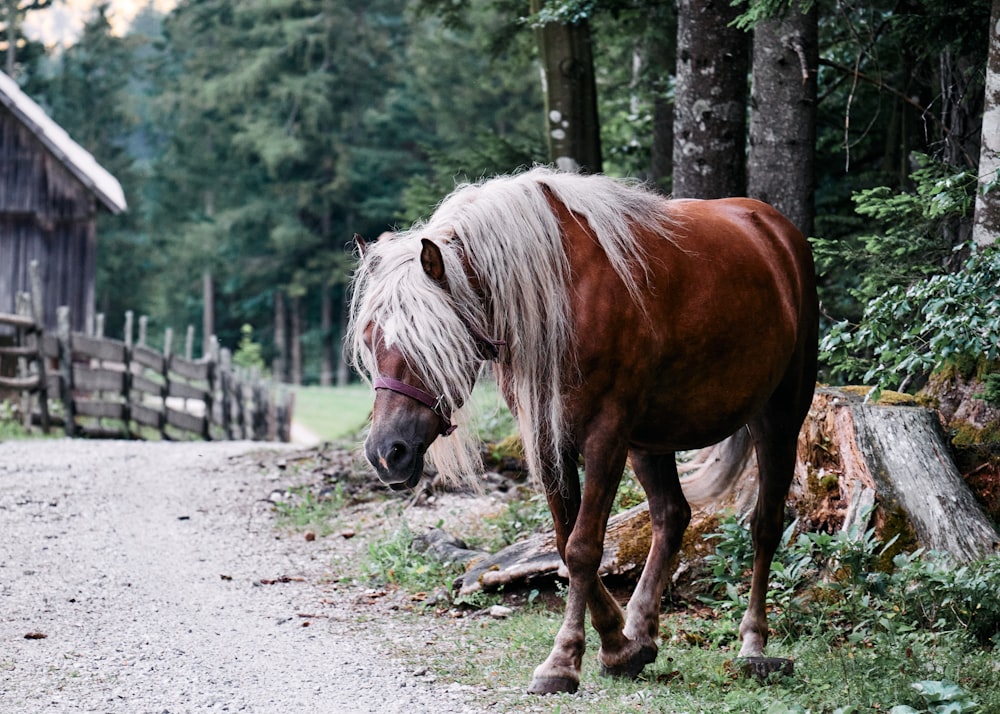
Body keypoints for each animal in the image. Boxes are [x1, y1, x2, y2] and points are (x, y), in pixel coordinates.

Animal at [348, 165, 816, 688]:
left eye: (431, 342)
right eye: (370, 339)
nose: (386, 452)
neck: (563, 296)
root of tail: (776, 230)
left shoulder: (605, 436)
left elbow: (583, 548)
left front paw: (565, 658)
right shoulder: (548, 438)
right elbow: (564, 541)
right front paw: (618, 642)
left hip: (778, 418)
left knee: (765, 525)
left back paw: (754, 644)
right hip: (650, 439)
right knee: (671, 516)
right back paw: (642, 629)